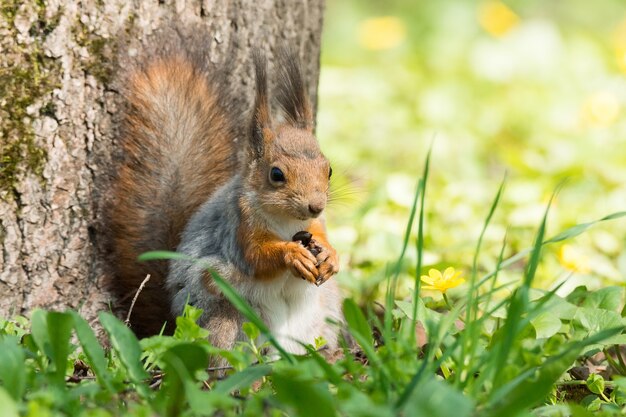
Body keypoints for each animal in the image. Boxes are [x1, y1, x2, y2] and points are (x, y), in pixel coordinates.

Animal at [107, 44, 342, 352]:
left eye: (329, 170)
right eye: (276, 174)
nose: (315, 205)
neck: (287, 221)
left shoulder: (315, 224)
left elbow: (321, 236)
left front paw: (330, 255)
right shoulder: (239, 226)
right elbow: (256, 258)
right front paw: (292, 254)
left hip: (324, 317)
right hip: (224, 321)